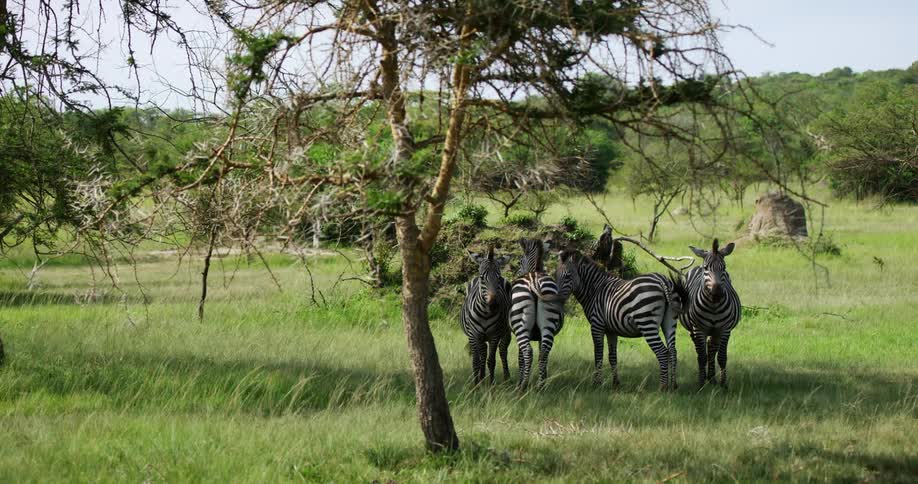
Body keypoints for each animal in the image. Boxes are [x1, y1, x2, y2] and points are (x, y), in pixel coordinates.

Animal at [461, 246, 513, 384]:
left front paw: (491, 384)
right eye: (482, 277)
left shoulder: (494, 335)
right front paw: (477, 384)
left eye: (498, 278)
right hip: (479, 336)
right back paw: (481, 378)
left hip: (505, 332)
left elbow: (491, 361)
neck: (485, 313)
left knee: (503, 351)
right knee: (482, 353)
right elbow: (476, 361)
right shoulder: (474, 334)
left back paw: (506, 378)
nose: (494, 305)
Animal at [509, 238, 565, 390]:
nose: (517, 273)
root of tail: (534, 279)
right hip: (549, 322)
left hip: (520, 324)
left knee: (528, 352)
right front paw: (544, 377)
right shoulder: (540, 335)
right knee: (544, 352)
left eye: (520, 261)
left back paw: (523, 385)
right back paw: (541, 385)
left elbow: (520, 358)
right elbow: (542, 353)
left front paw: (520, 380)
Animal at [550, 249, 685, 391]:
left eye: (568, 275)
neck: (594, 289)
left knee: (663, 352)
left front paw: (597, 383)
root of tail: (662, 280)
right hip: (670, 321)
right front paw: (615, 384)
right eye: (556, 275)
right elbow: (612, 356)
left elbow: (598, 354)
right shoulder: (611, 330)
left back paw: (663, 387)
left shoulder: (597, 325)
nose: (556, 299)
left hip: (647, 323)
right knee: (673, 351)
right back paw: (673, 385)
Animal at [682, 239, 742, 389]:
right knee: (701, 351)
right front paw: (700, 383)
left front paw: (723, 384)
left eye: (724, 268)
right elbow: (702, 356)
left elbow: (721, 357)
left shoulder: (725, 329)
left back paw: (712, 379)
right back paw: (706, 377)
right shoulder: (699, 329)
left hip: (715, 331)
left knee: (711, 349)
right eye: (706, 268)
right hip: (693, 330)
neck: (713, 306)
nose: (717, 293)